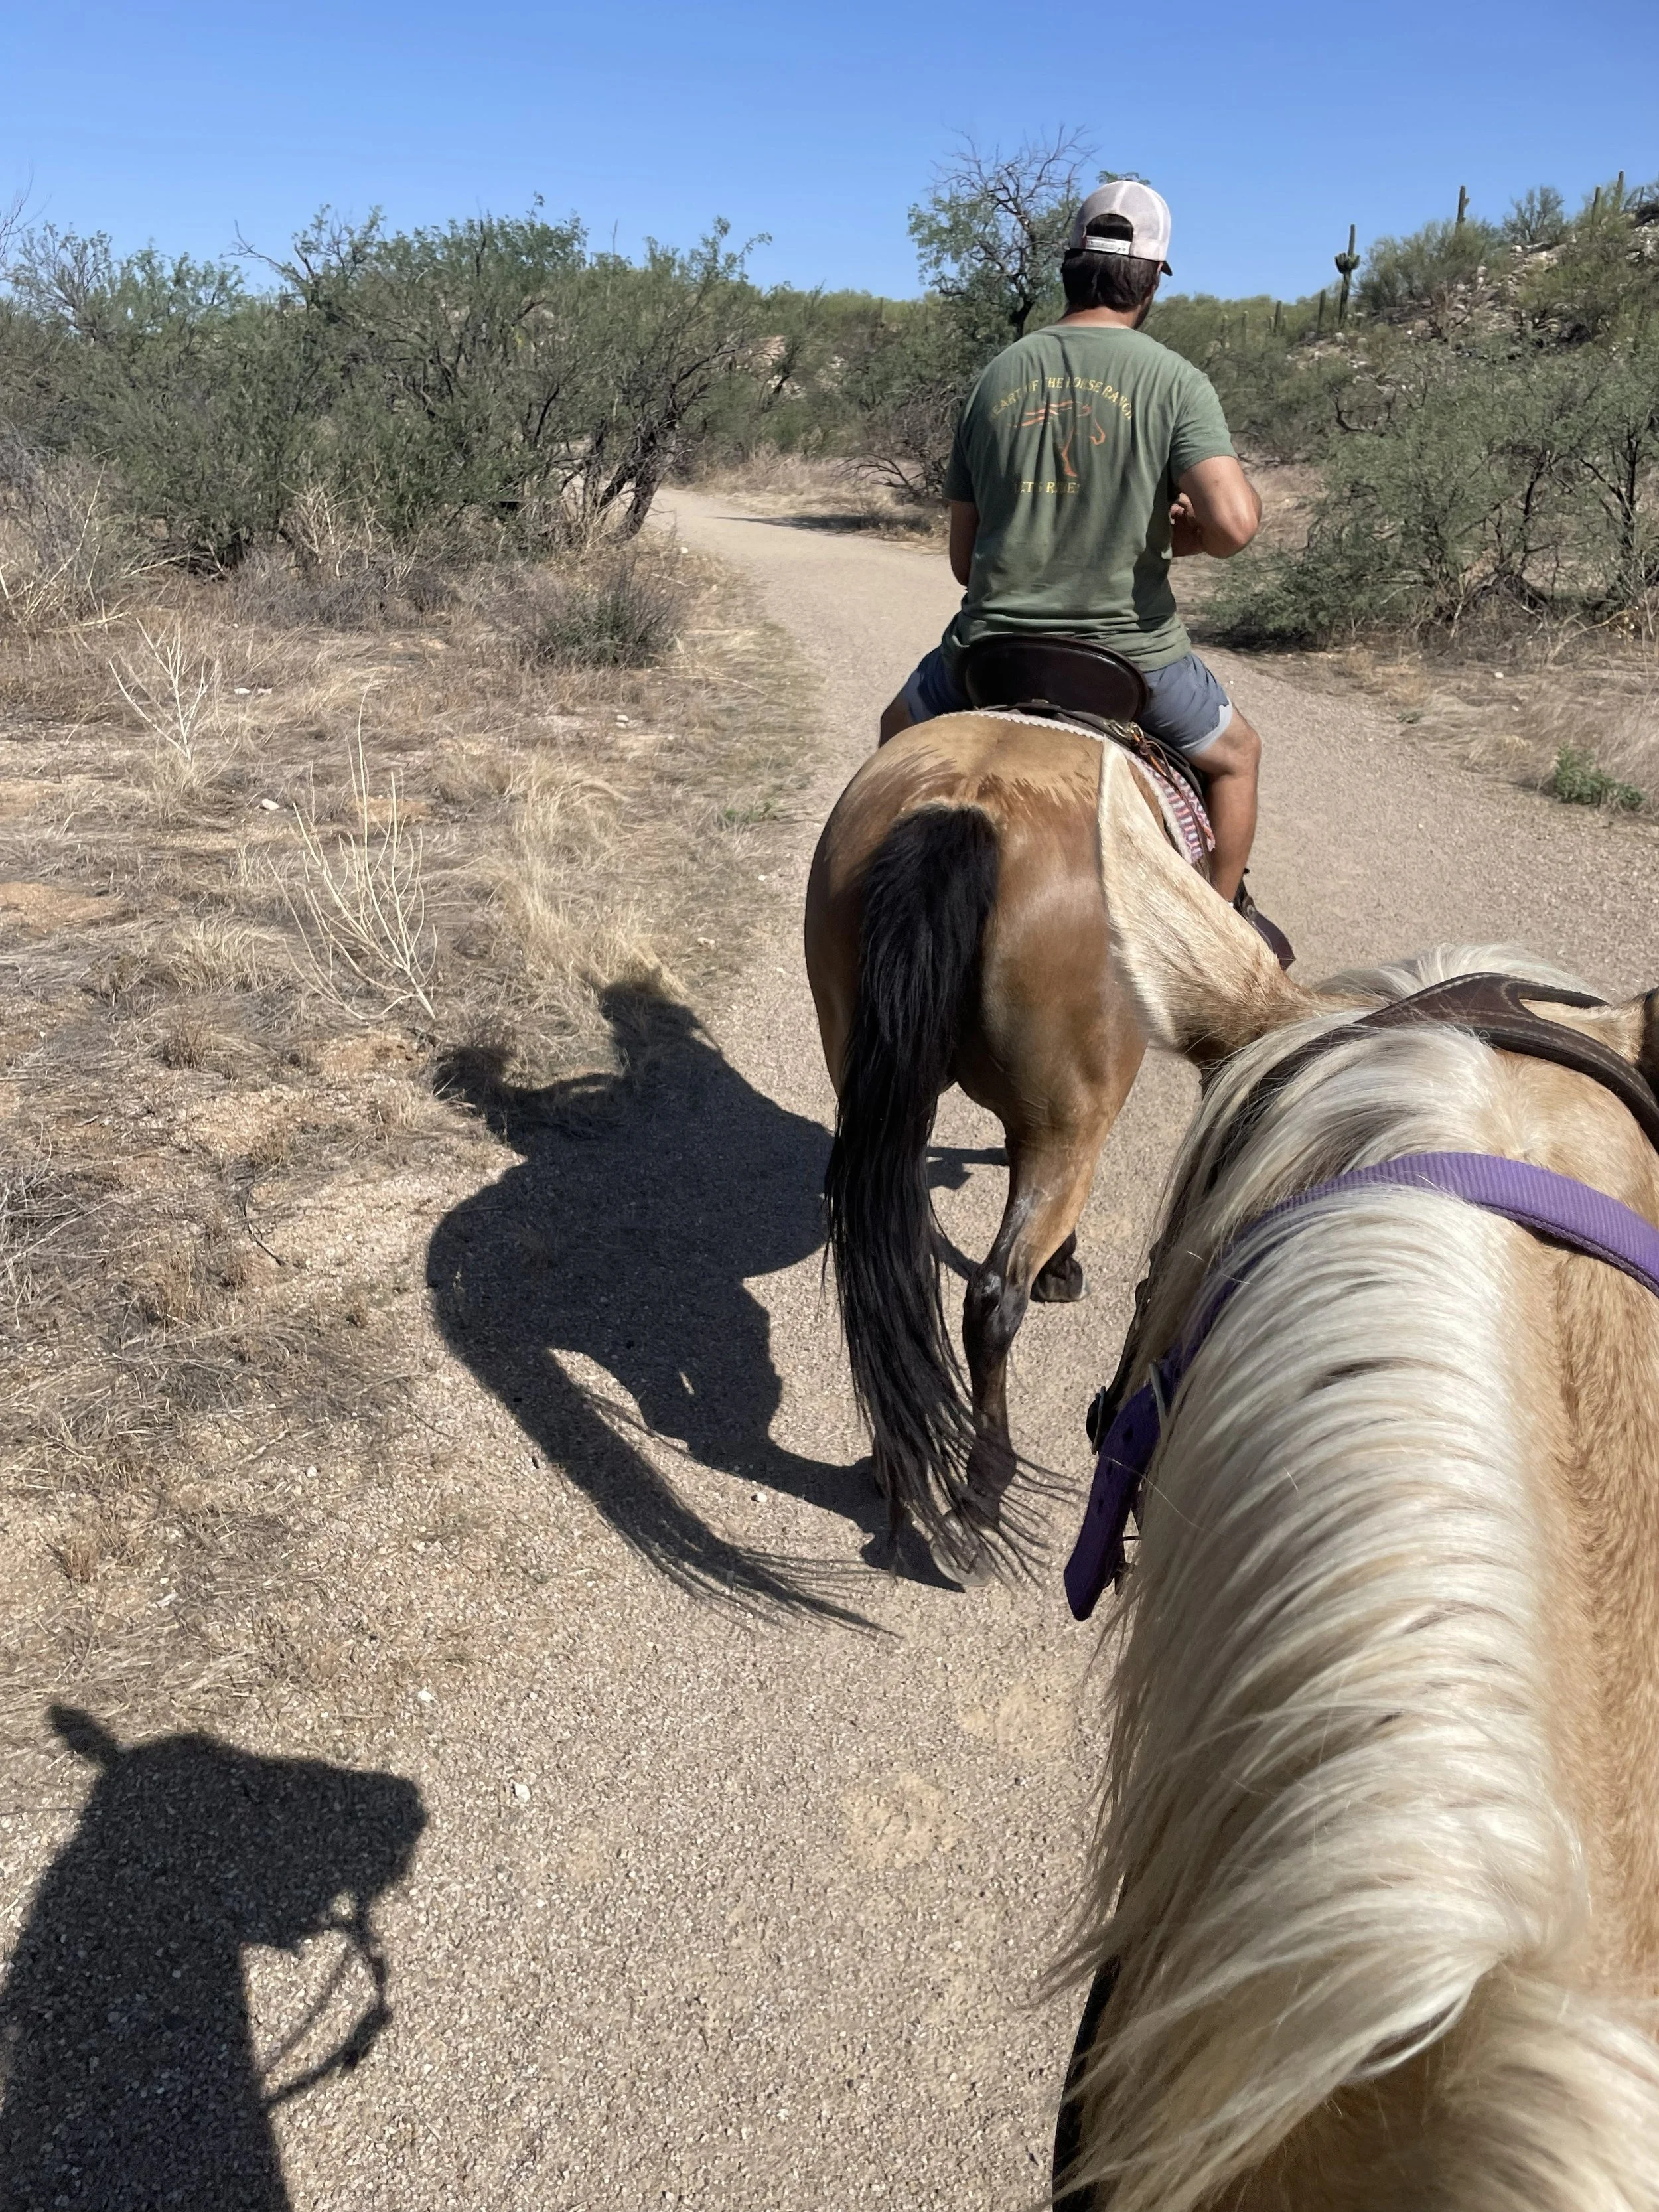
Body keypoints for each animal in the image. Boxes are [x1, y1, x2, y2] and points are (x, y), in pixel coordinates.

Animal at [804, 712, 1164, 1575]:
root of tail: (966, 808)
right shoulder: (1063, 1125)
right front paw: (1063, 1269)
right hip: (1067, 1126)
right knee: (992, 1300)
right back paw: (981, 1491)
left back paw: (896, 1457)